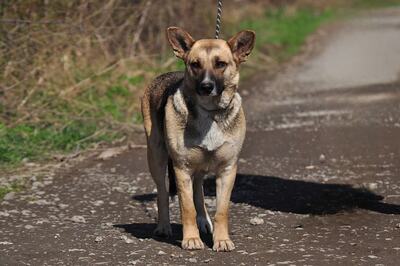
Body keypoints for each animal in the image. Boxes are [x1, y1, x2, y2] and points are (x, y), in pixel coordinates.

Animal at [142, 25, 255, 251]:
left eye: (220, 64)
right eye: (195, 64)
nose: (206, 86)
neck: (209, 112)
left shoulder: (227, 170)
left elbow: (221, 210)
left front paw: (222, 240)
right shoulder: (182, 169)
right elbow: (187, 208)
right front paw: (191, 239)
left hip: (200, 166)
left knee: (198, 191)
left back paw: (204, 221)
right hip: (156, 158)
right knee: (162, 194)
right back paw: (164, 227)